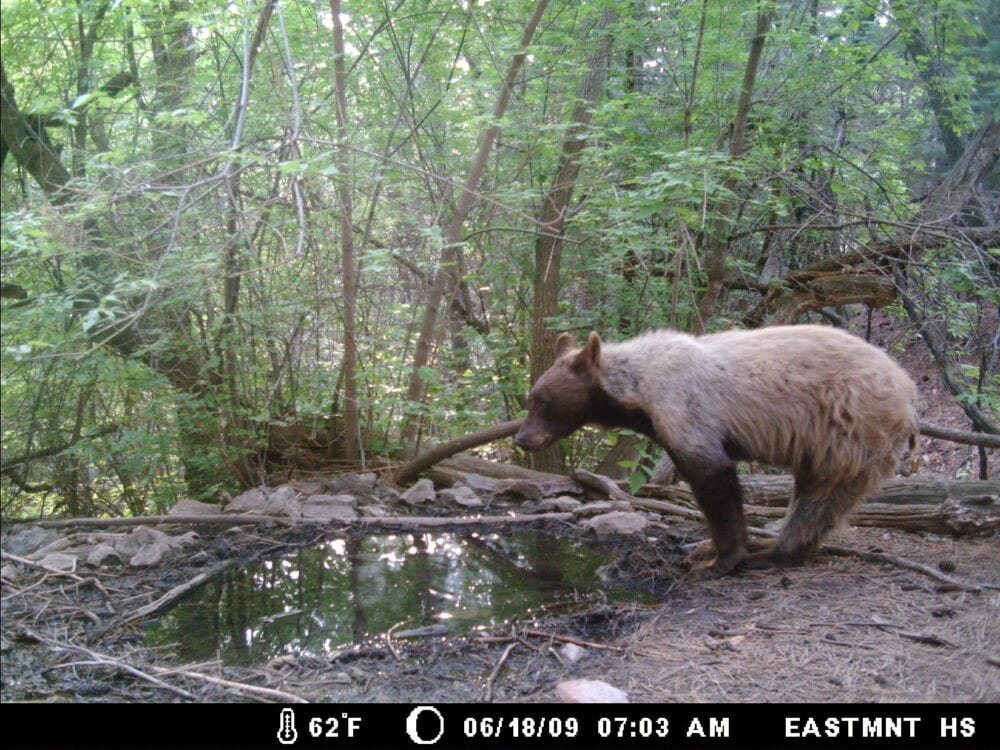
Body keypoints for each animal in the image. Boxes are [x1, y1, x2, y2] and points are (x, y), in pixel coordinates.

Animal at [520, 326, 916, 580]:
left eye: (544, 401)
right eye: (532, 398)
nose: (524, 439)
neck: (638, 391)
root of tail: (908, 390)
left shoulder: (687, 410)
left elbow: (713, 477)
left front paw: (718, 560)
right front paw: (705, 549)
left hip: (849, 431)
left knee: (821, 500)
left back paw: (773, 554)